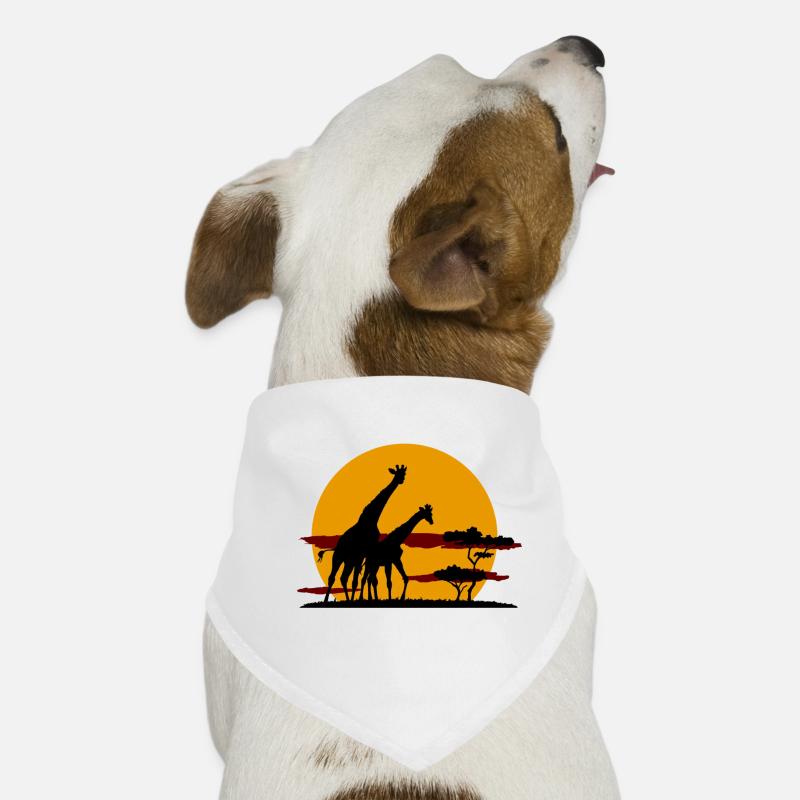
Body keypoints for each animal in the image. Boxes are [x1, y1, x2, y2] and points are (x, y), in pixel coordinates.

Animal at [320, 465, 406, 602]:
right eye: (397, 474)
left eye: (404, 473)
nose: (401, 480)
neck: (371, 518)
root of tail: (336, 547)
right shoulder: (363, 553)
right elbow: (361, 578)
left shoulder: (367, 552)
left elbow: (364, 578)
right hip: (338, 558)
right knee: (332, 577)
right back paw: (327, 600)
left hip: (349, 561)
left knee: (344, 578)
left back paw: (347, 599)